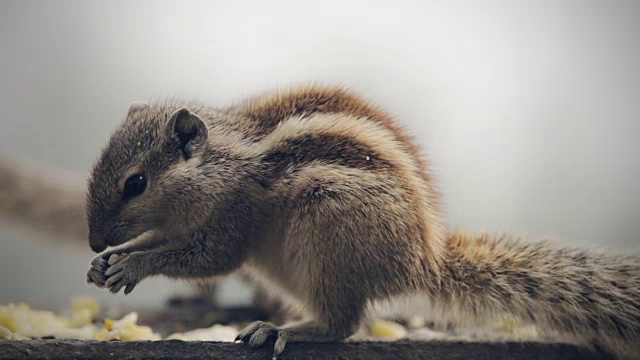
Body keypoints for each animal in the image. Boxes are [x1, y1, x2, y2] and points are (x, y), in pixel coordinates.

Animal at [85, 86, 640, 358]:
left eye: (136, 183)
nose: (93, 242)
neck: (223, 163)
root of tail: (424, 263)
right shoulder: (181, 222)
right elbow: (166, 239)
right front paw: (108, 263)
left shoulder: (233, 216)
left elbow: (207, 258)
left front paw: (132, 266)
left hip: (327, 227)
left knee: (343, 324)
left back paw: (286, 331)